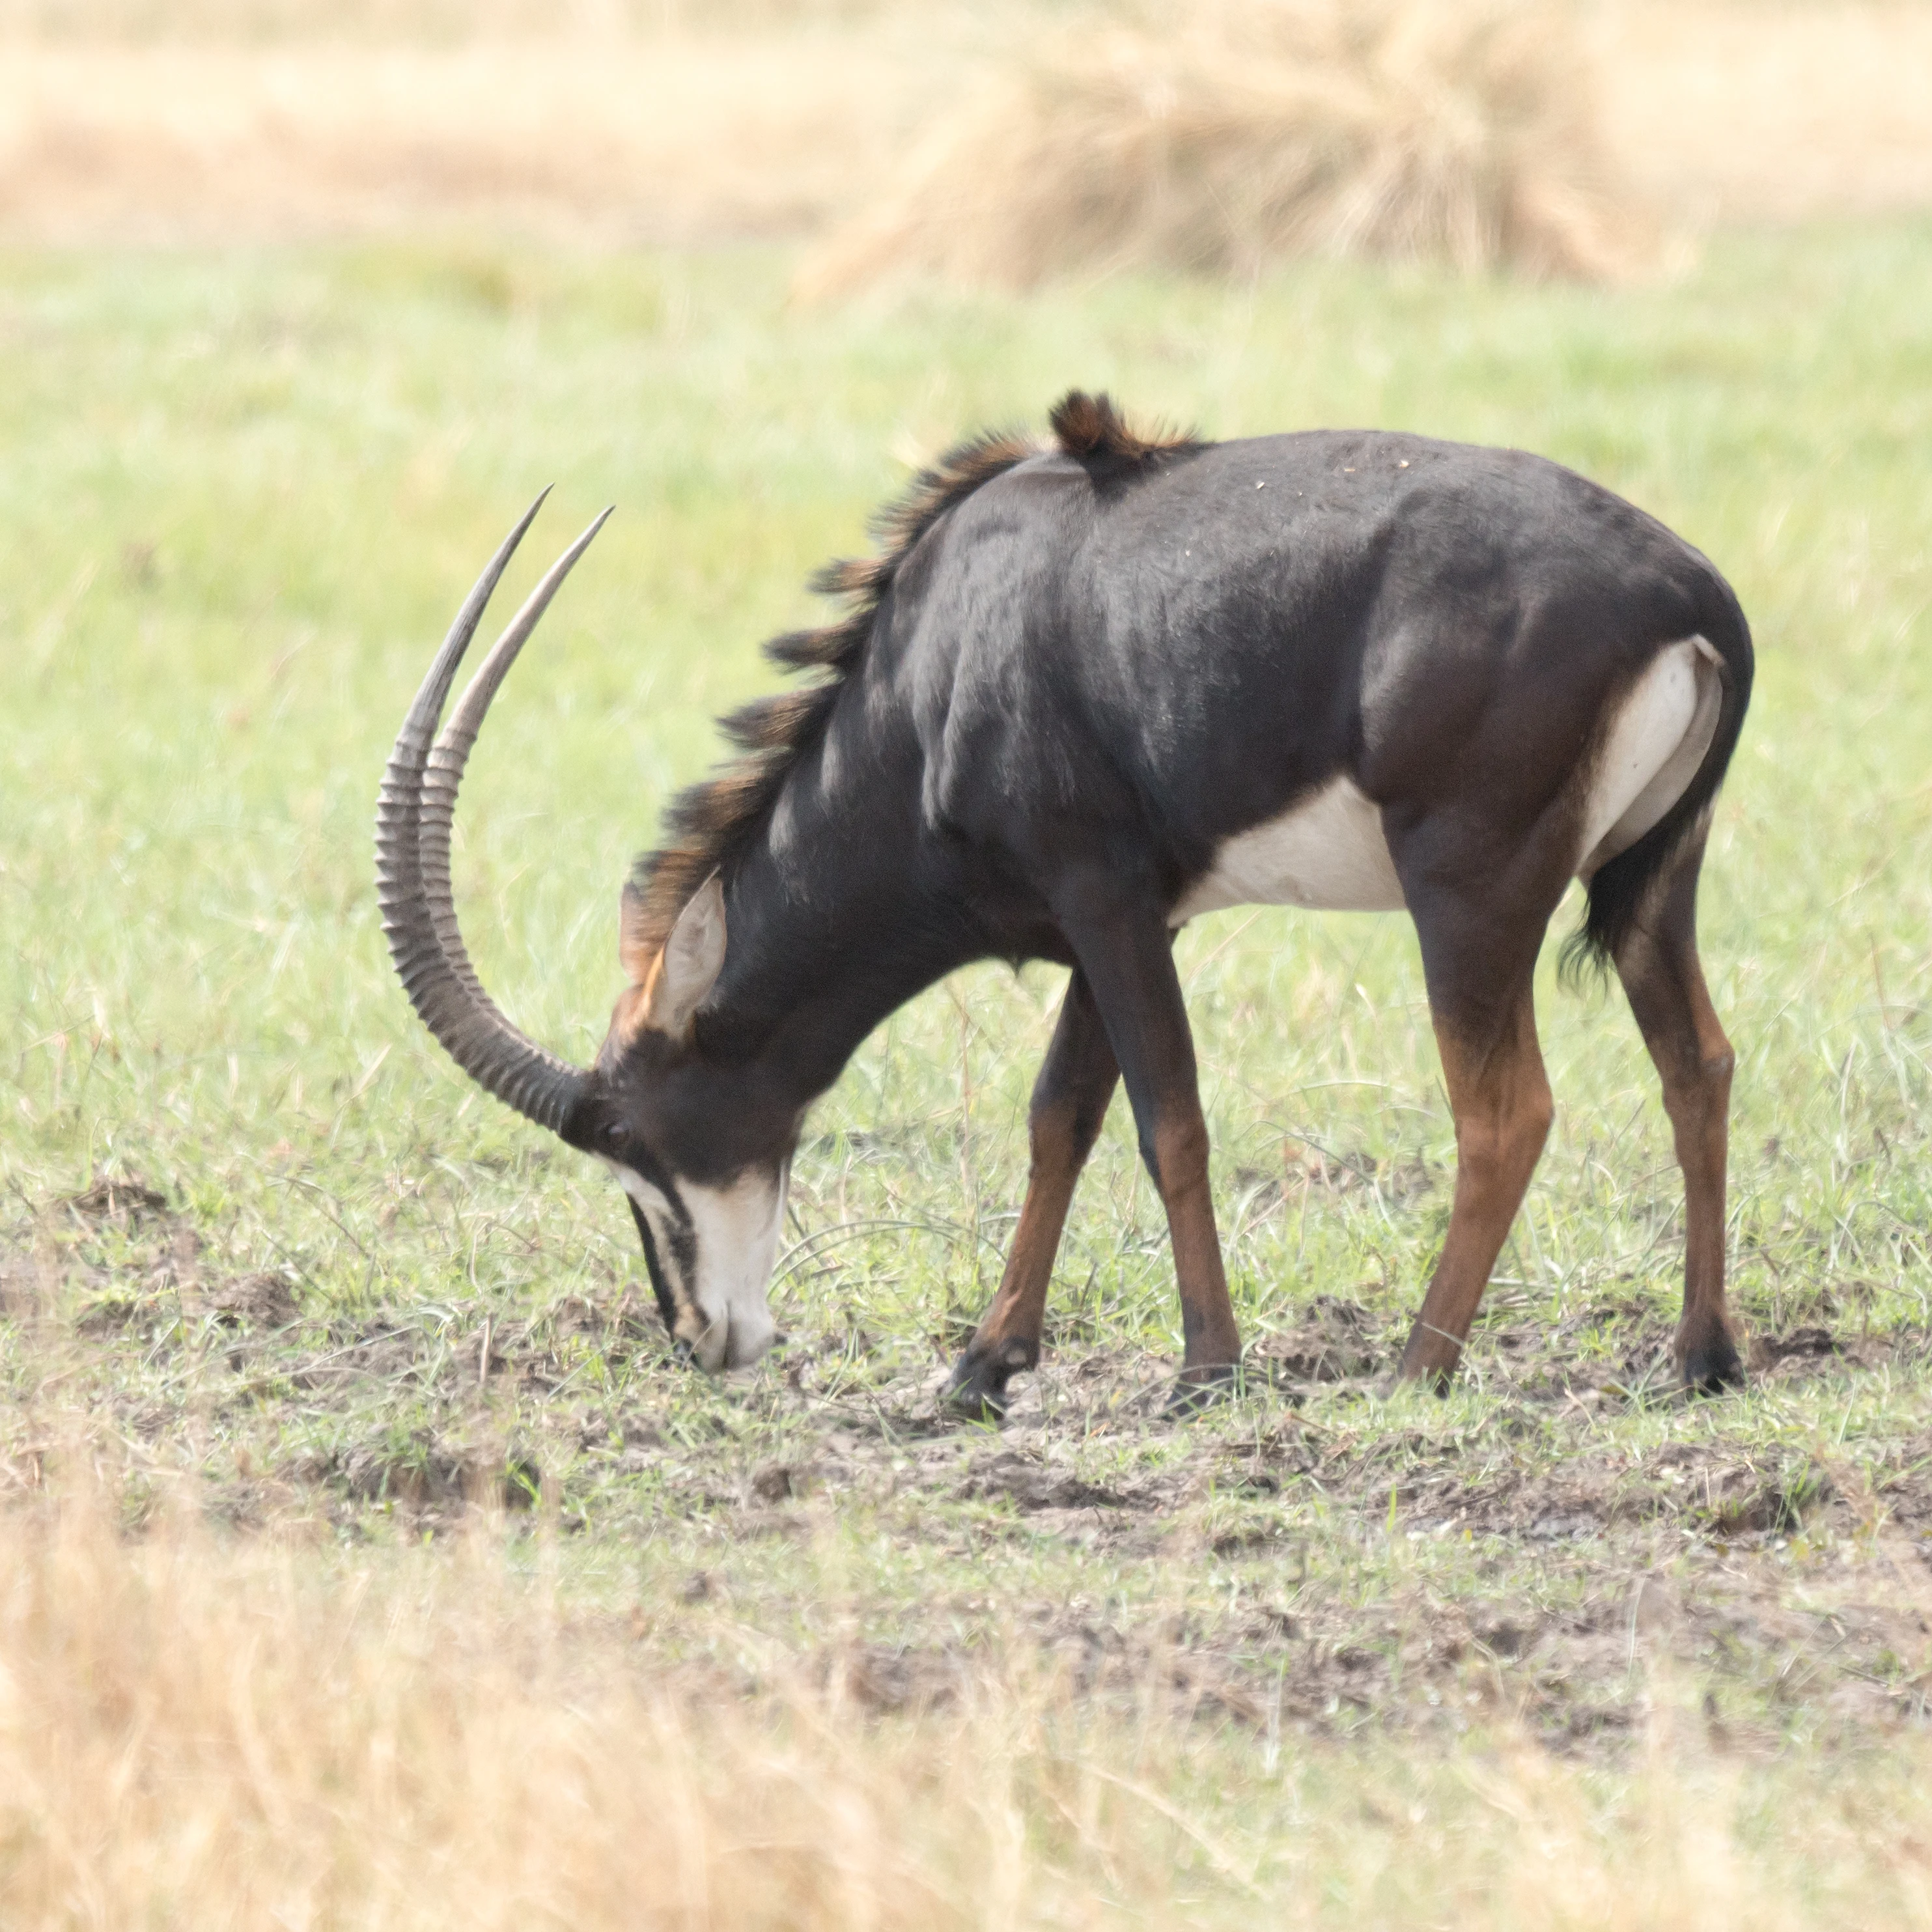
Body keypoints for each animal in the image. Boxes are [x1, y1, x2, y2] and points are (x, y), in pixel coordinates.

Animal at [377, 393, 1752, 1417]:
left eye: (640, 1138)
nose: (704, 1339)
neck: (931, 667)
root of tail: (1689, 596)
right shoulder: (1125, 919)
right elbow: (1060, 1119)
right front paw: (982, 1365)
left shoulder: (1107, 897)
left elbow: (1166, 1121)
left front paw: (1205, 1370)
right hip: (1654, 882)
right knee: (1697, 1063)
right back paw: (1699, 1356)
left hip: (1464, 891)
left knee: (1504, 1113)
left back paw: (1415, 1369)